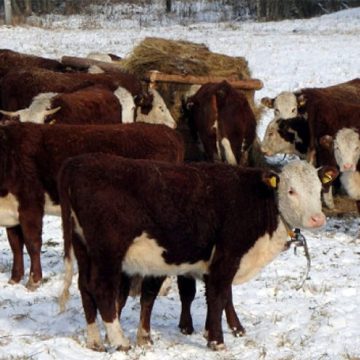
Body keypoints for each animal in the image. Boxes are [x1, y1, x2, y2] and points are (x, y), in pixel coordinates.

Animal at [0, 121, 184, 290]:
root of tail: (168, 131)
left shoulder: (30, 203)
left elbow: (32, 243)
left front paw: (34, 281)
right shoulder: (11, 213)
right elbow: (15, 245)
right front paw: (14, 279)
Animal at [58, 155, 338, 352]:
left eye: (318, 189)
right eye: (291, 190)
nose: (317, 218)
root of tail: (76, 163)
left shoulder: (214, 261)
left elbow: (221, 296)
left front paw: (222, 331)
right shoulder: (227, 255)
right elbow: (218, 295)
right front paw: (217, 341)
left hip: (83, 248)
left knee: (85, 288)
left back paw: (95, 341)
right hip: (108, 252)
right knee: (102, 290)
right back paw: (120, 341)